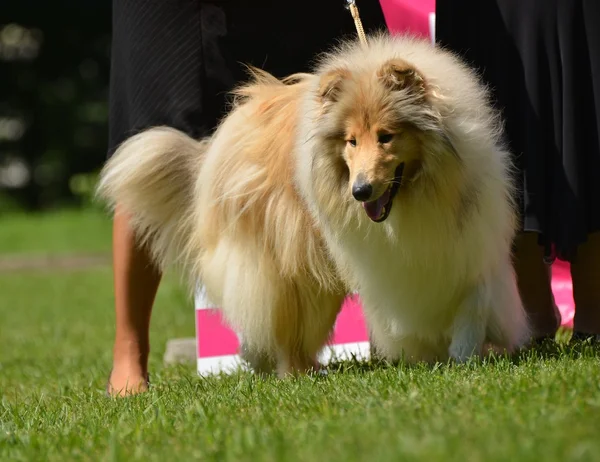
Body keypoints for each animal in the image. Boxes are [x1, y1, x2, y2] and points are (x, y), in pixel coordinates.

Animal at [97, 34, 528, 378]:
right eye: (351, 141)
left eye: (386, 136)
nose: (360, 192)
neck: (416, 197)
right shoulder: (392, 263)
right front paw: (437, 353)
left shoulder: (472, 246)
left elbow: (473, 302)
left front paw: (461, 354)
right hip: (290, 263)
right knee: (278, 321)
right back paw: (291, 371)